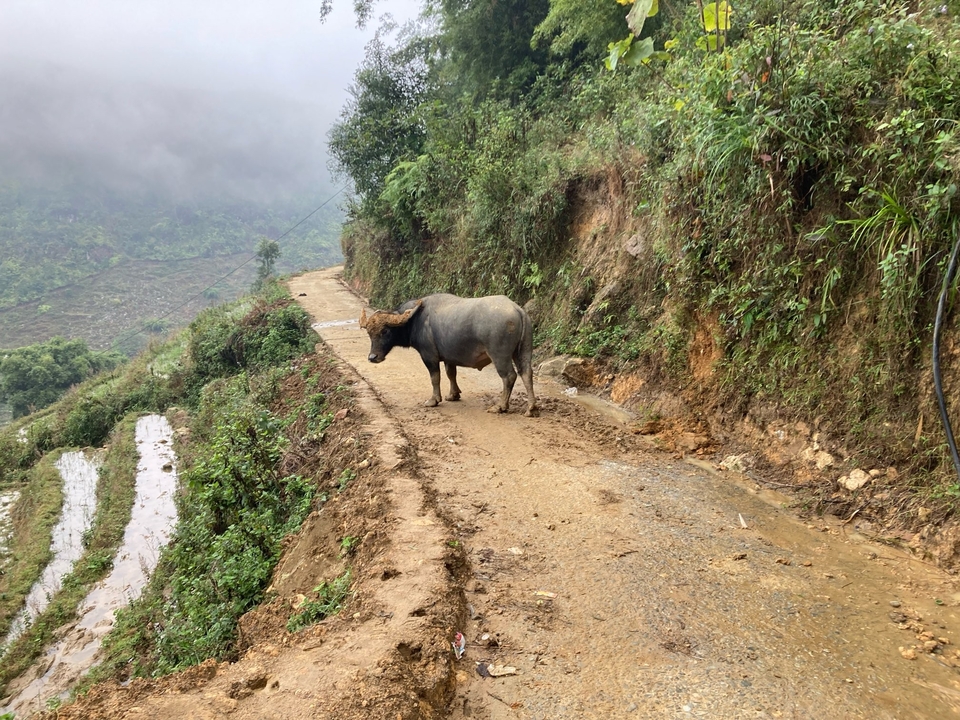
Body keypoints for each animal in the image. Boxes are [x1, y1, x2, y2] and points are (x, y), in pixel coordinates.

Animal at [359, 293, 538, 416]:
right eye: (369, 333)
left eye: (385, 331)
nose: (372, 357)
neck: (415, 320)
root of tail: (517, 309)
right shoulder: (449, 357)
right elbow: (451, 373)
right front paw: (454, 394)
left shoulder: (429, 356)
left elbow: (435, 377)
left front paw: (433, 400)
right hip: (523, 350)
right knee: (526, 373)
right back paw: (531, 408)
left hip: (499, 355)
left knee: (509, 376)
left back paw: (500, 406)